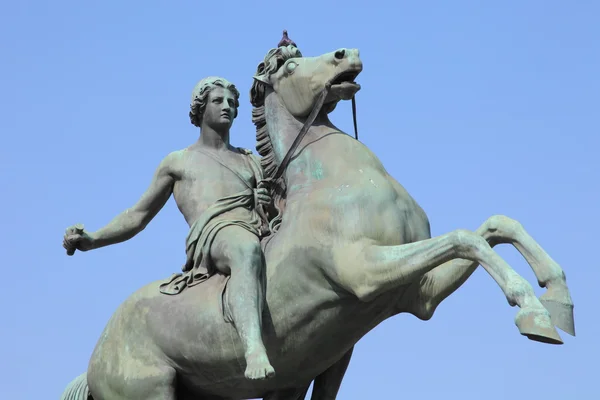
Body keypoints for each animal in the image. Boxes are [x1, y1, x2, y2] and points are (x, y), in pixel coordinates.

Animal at [59, 43, 572, 400]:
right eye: (289, 67)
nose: (349, 54)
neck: (336, 185)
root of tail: (97, 356)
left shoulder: (417, 295)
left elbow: (495, 226)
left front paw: (558, 298)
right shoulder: (365, 272)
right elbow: (467, 239)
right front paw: (533, 314)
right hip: (147, 391)